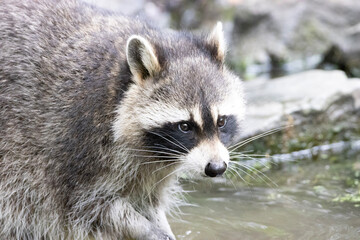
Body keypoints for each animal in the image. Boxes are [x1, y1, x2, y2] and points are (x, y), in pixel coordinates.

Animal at [0, 0, 245, 240]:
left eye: (221, 121)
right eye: (185, 126)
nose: (216, 168)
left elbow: (148, 201)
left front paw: (160, 225)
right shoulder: (74, 148)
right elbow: (91, 207)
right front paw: (148, 230)